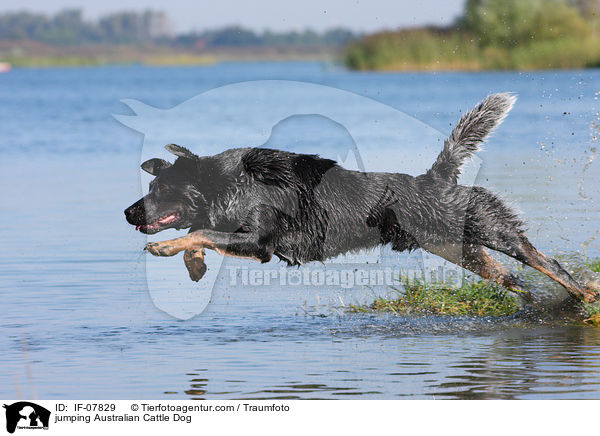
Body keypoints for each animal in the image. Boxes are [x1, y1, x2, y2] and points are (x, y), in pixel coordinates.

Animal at [124, 92, 596, 304]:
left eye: (160, 189)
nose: (128, 212)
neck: (229, 184)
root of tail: (439, 177)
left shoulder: (259, 243)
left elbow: (199, 231)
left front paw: (166, 248)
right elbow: (200, 233)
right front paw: (193, 263)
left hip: (490, 229)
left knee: (543, 261)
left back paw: (584, 293)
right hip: (458, 249)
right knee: (512, 277)